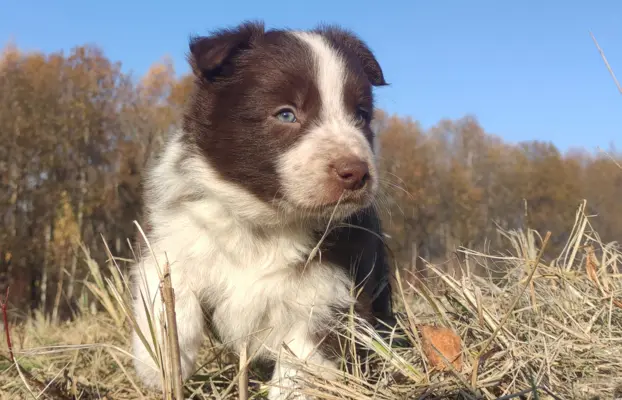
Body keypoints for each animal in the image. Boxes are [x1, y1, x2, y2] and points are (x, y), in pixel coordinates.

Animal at [132, 21, 404, 396]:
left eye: (360, 115)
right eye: (286, 114)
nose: (357, 173)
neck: (267, 220)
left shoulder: (332, 293)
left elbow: (303, 357)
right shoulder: (175, 232)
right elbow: (168, 293)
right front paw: (159, 366)